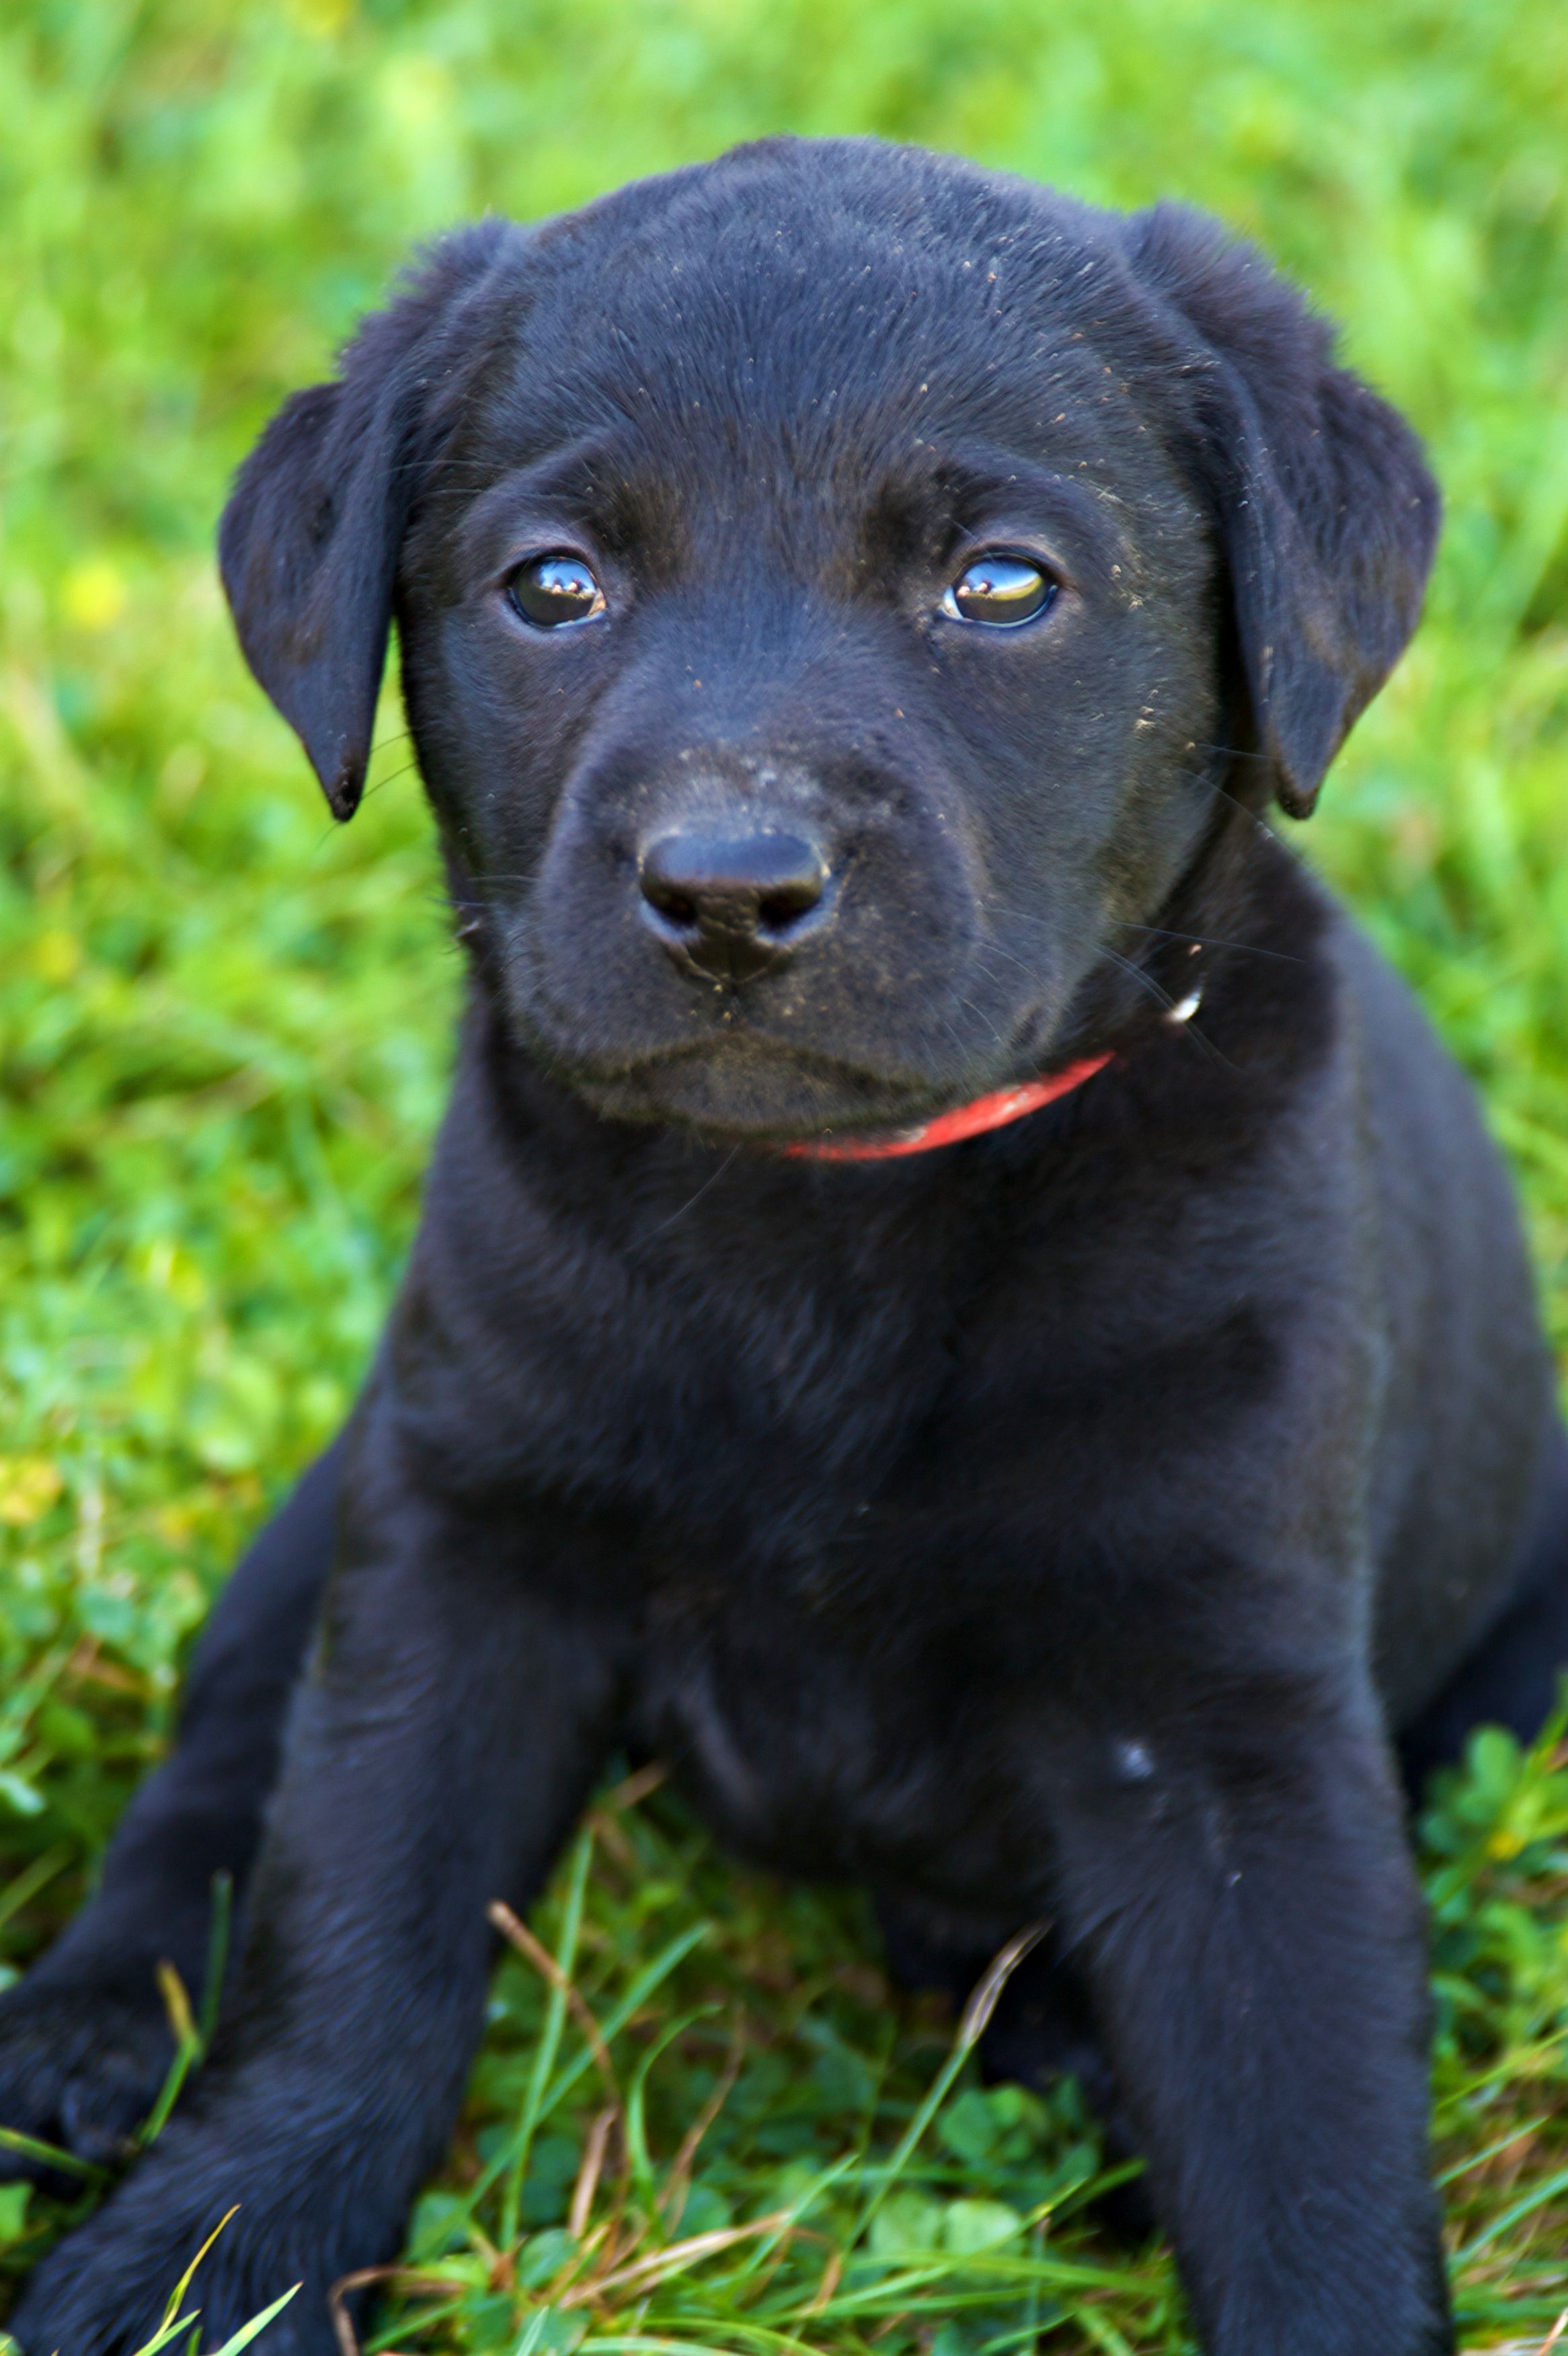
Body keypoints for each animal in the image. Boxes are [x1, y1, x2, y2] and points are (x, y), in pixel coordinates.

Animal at [3, 133, 1563, 2356]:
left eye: (999, 585)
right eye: (551, 585)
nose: (729, 886)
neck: (826, 1221)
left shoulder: (1226, 1702)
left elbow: (1307, 2127)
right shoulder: (463, 1558)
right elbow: (353, 1934)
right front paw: (212, 2258)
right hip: (350, 1489)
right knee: (226, 1755)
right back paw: (88, 2035)